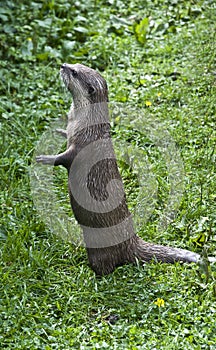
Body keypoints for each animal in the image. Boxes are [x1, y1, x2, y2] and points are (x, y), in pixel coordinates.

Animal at [36, 63, 215, 276]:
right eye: (76, 65)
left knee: (105, 266)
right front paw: (57, 131)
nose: (63, 65)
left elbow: (63, 159)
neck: (83, 122)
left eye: (74, 73)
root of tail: (131, 242)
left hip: (99, 250)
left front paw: (43, 158)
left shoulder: (81, 145)